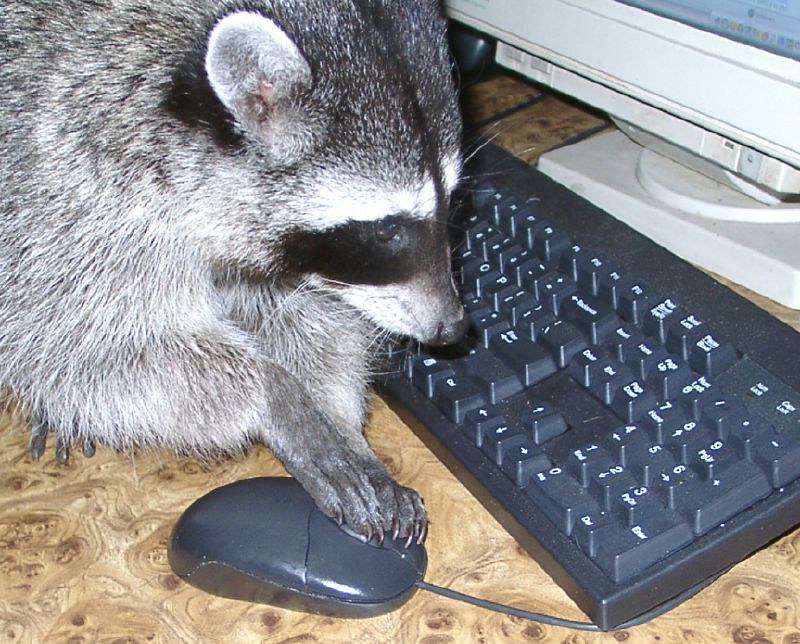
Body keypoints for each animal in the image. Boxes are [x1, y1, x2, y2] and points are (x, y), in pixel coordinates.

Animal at [1, 0, 468, 540]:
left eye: (453, 199)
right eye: (387, 230)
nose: (454, 327)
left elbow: (305, 315)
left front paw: (335, 416)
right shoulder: (72, 197)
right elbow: (83, 351)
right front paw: (276, 394)